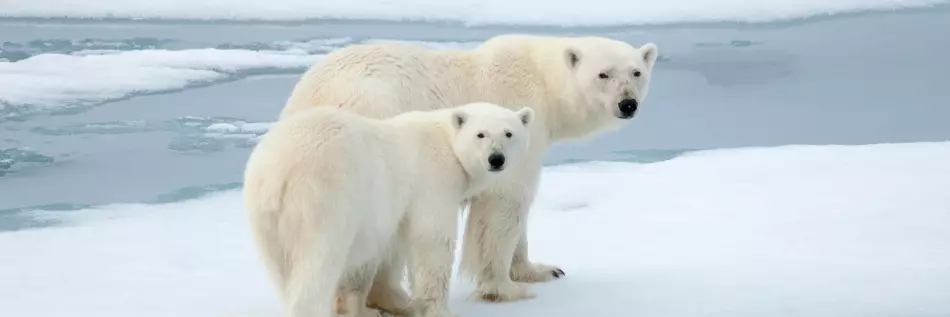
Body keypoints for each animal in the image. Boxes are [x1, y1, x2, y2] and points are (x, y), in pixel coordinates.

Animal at [278, 34, 660, 312]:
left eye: (636, 73)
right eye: (603, 74)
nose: (628, 104)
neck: (541, 80)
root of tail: (310, 97)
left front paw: (540, 270)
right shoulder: (513, 122)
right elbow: (505, 204)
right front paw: (506, 288)